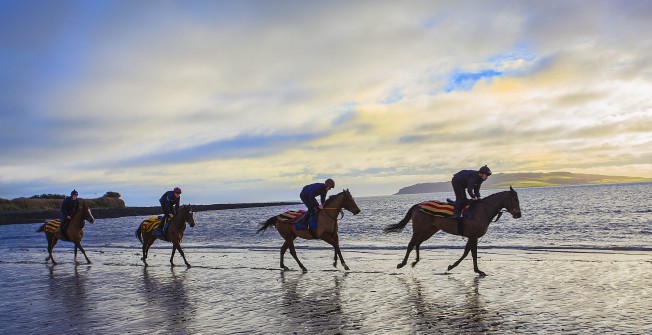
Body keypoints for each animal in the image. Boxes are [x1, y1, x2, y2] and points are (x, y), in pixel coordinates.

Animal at [384, 188, 524, 276]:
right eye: (514, 199)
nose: (519, 214)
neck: (482, 210)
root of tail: (417, 205)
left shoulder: (472, 236)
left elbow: (466, 252)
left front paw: (452, 266)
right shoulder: (474, 236)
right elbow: (472, 253)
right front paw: (477, 270)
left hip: (430, 229)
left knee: (418, 243)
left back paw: (415, 261)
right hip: (419, 229)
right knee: (411, 244)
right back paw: (402, 264)